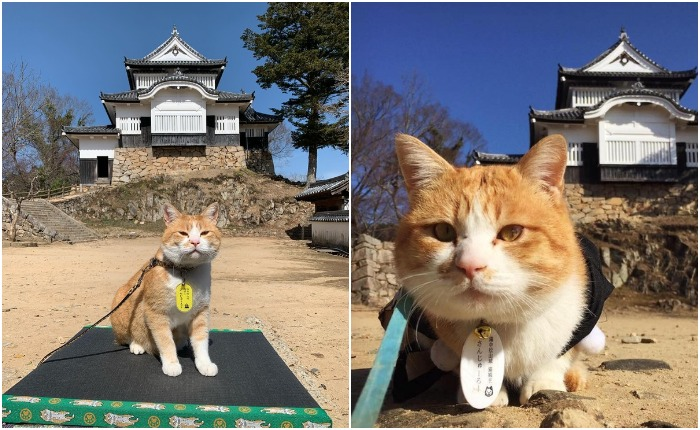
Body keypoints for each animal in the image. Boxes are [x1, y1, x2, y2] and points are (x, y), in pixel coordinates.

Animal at [110, 202, 220, 376]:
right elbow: (166, 341)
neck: (185, 271)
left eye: (204, 233)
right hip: (121, 301)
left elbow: (200, 341)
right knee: (126, 338)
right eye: (183, 233)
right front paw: (171, 364)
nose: (195, 241)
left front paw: (204, 364)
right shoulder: (156, 313)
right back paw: (137, 344)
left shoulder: (200, 313)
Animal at [394, 134, 612, 406]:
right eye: (442, 231)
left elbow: (557, 356)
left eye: (512, 232)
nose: (470, 265)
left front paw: (544, 382)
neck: (500, 324)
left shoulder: (580, 321)